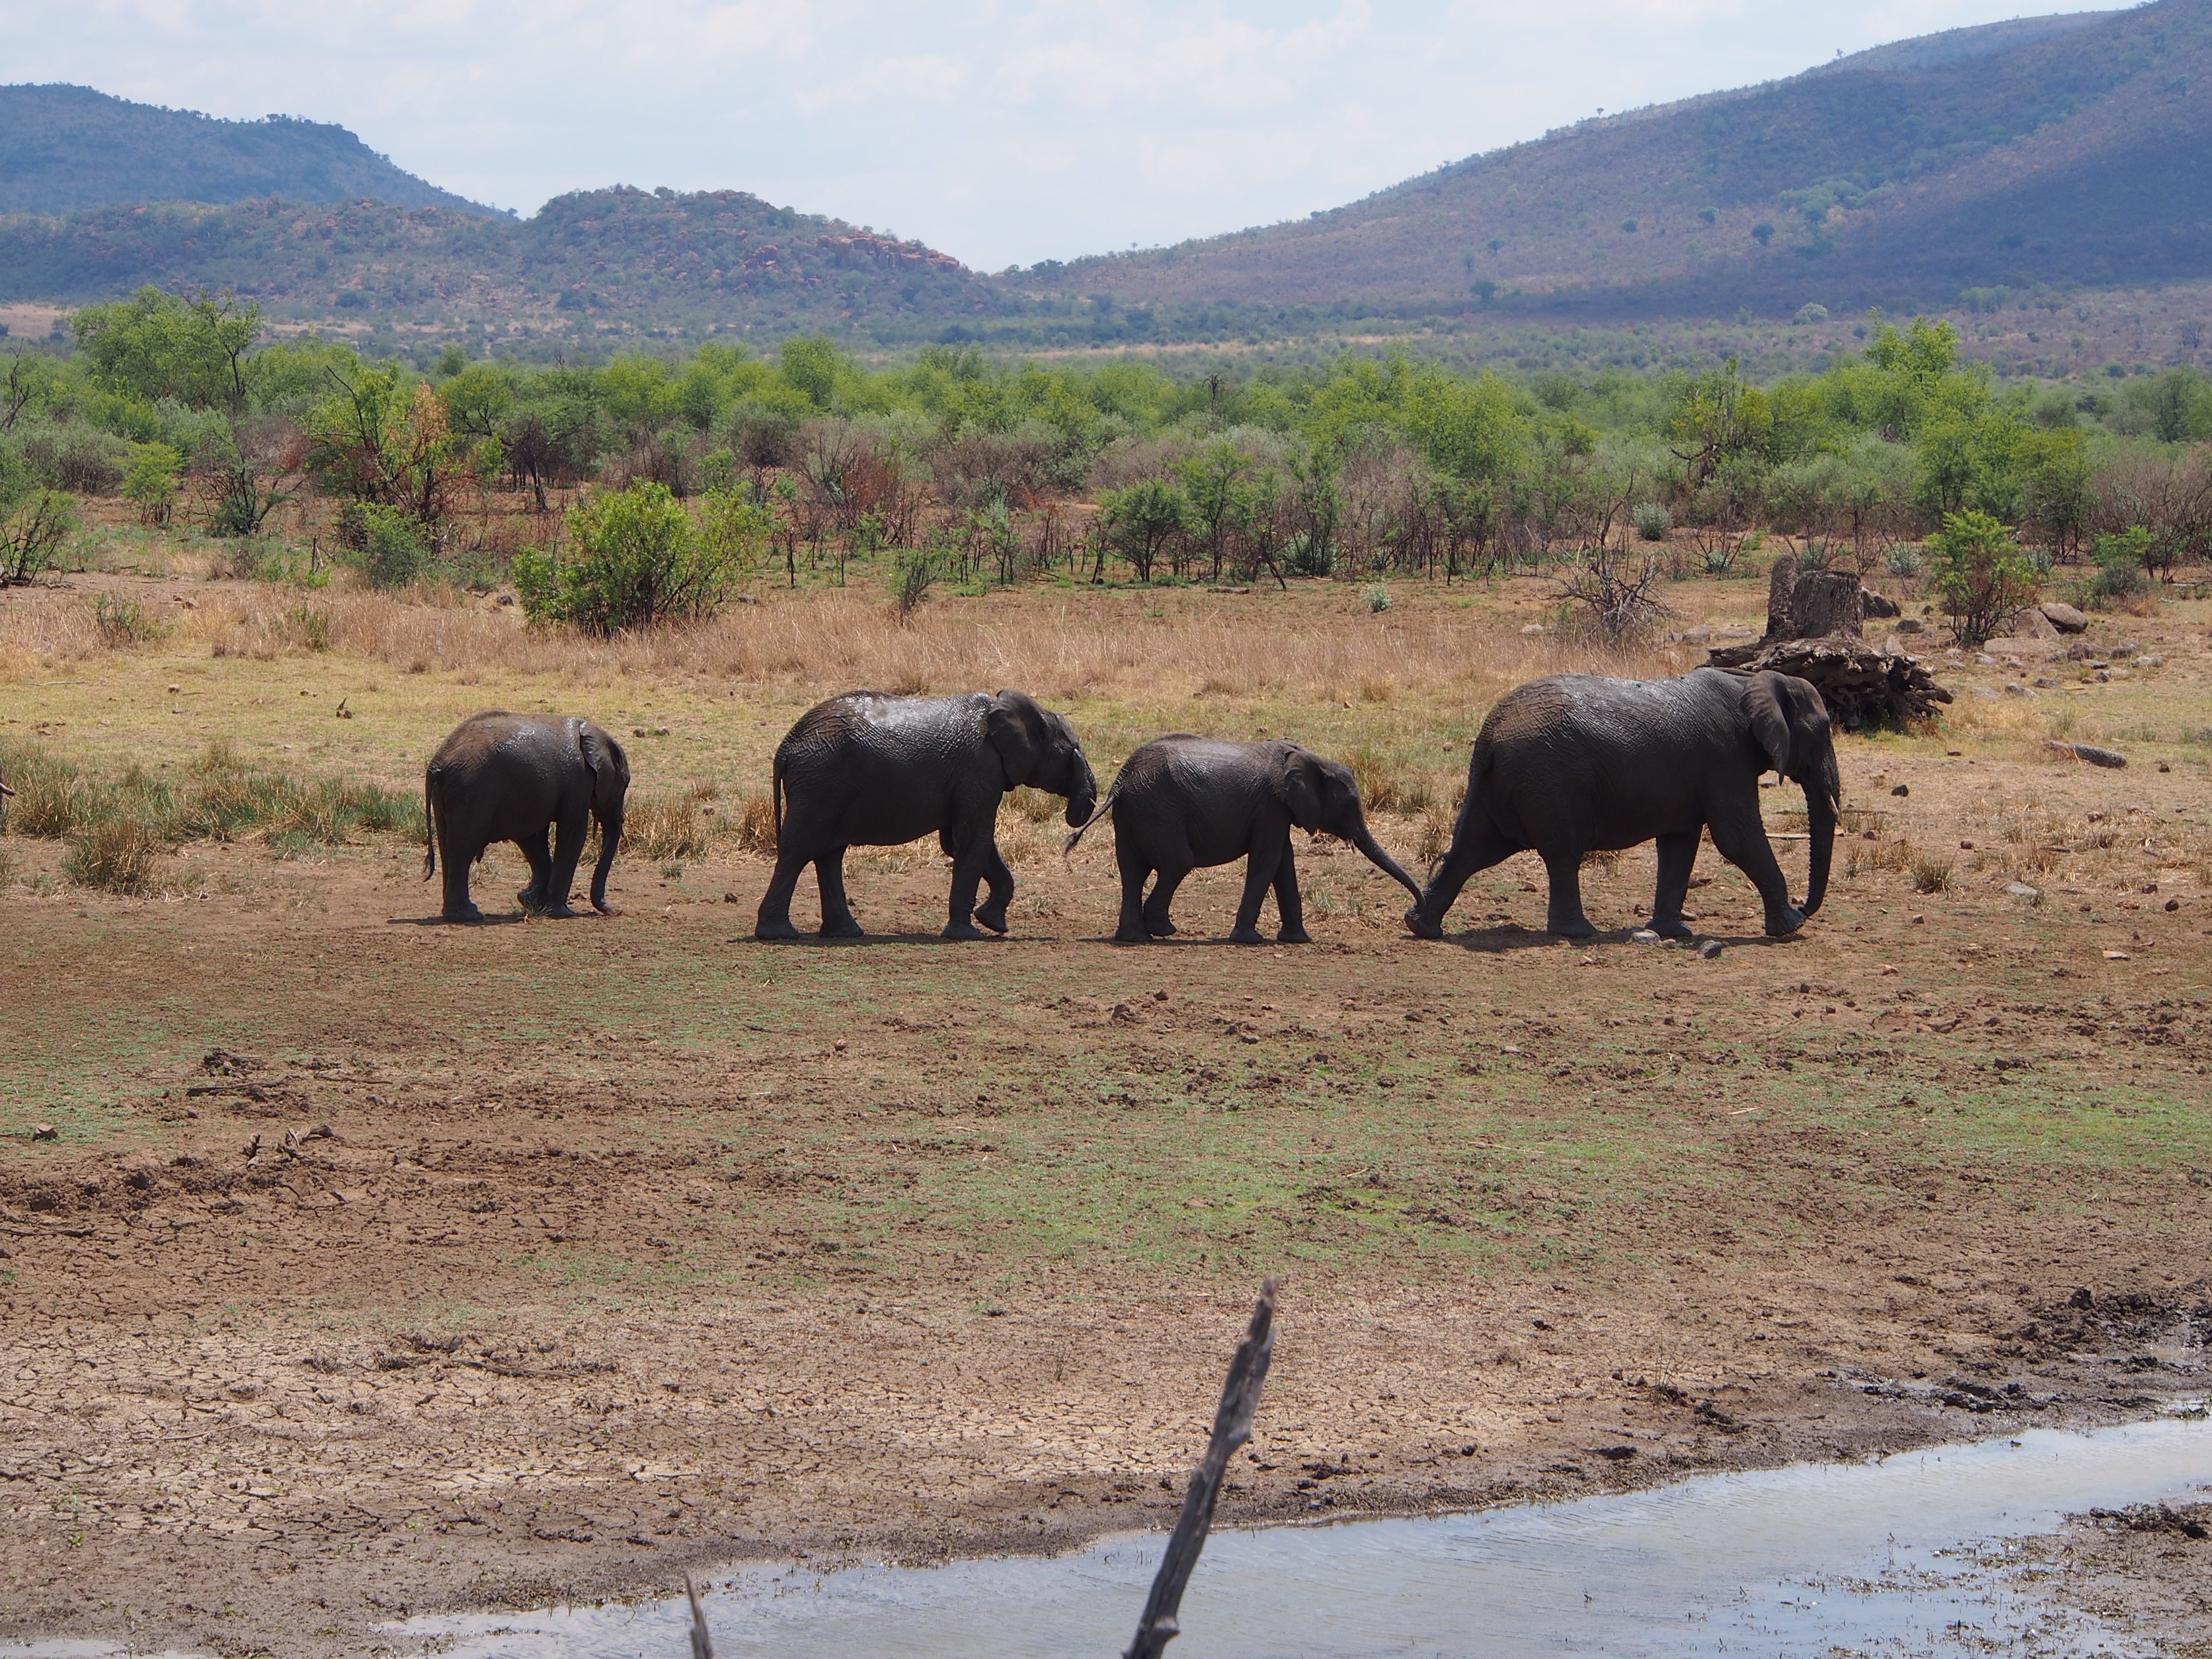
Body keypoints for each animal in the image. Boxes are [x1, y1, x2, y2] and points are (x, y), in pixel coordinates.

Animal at [423, 712, 630, 922]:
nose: (616, 911)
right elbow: (573, 834)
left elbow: (532, 838)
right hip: (470, 793)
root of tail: (436, 764)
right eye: (625, 784)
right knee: (464, 850)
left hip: (449, 794)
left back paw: (458, 914)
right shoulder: (579, 781)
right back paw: (468, 916)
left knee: (447, 848)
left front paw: (529, 901)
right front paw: (561, 913)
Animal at [754, 689, 1097, 942]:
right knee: (799, 849)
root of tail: (785, 747)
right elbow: (973, 840)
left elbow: (961, 842)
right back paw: (779, 935)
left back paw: (846, 933)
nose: (1076, 822)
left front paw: (993, 924)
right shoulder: (979, 769)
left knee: (829, 855)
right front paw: (968, 935)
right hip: (820, 783)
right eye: (1073, 750)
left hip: (825, 786)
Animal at [1068, 736, 1425, 944]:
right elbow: (1267, 861)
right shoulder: (1271, 806)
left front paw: (1298, 940)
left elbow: (1283, 863)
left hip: (1136, 812)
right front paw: (1248, 939)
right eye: (1349, 805)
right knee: (1177, 863)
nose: (1415, 914)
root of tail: (1121, 781)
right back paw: (1163, 931)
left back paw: (1135, 938)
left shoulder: (1278, 811)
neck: (1312, 759)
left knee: (1132, 871)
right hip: (1158, 809)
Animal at [1404, 667, 1840, 942]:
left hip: (1507, 782)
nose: (1805, 907)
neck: (1752, 680)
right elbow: (1737, 837)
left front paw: (1673, 933)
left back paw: (1422, 927)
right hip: (1549, 780)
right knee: (1562, 855)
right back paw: (1578, 933)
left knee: (1474, 850)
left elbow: (1680, 844)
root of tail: (1487, 735)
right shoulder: (1725, 758)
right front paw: (1791, 928)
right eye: (1823, 732)